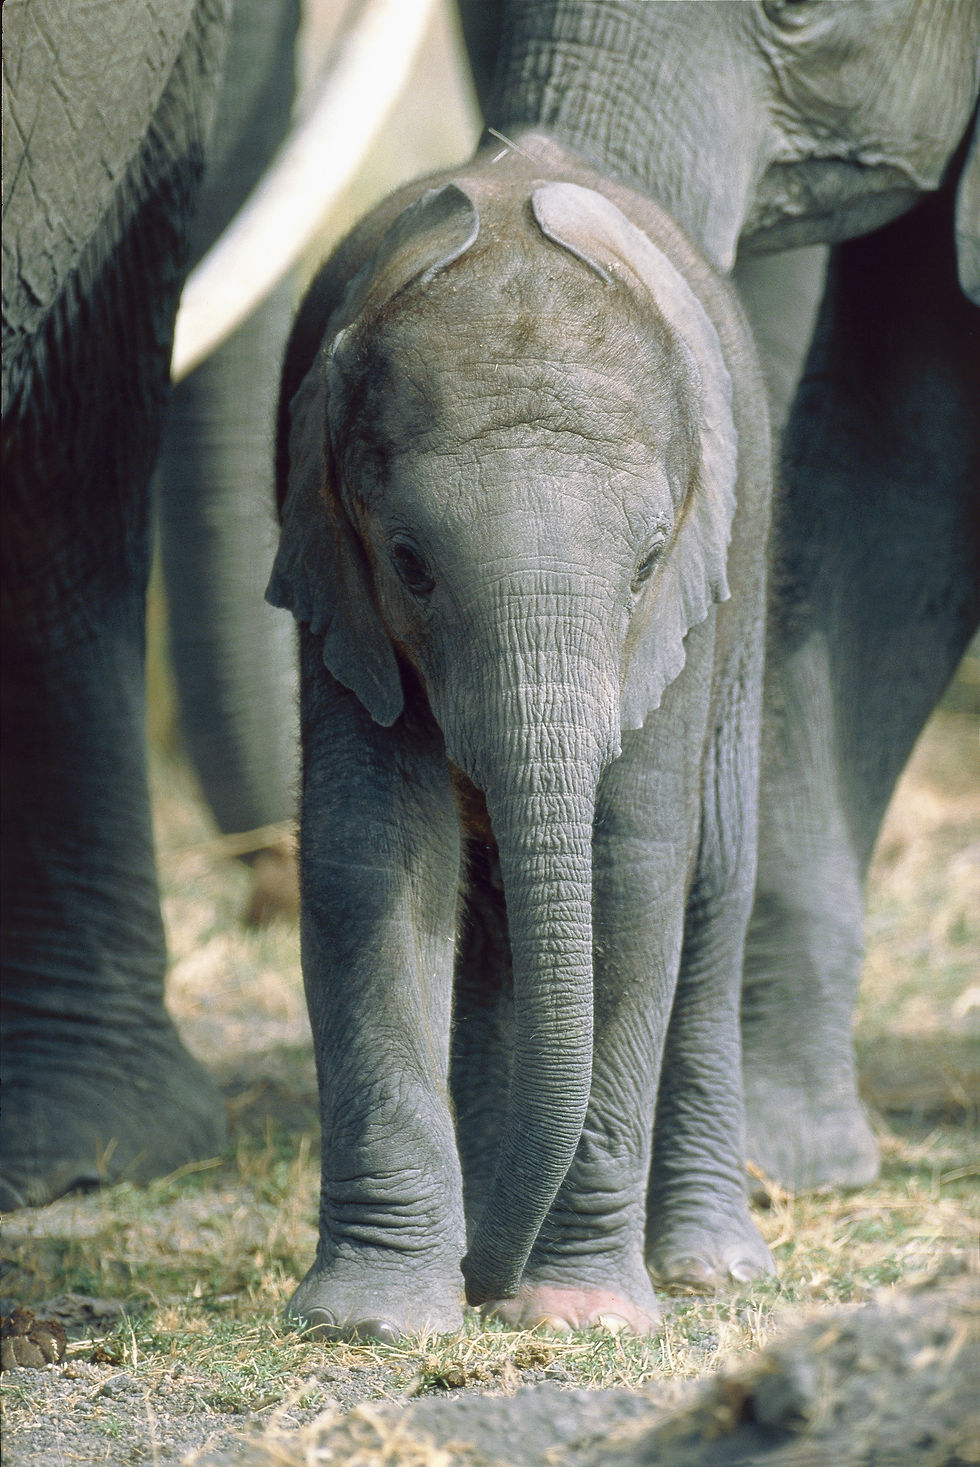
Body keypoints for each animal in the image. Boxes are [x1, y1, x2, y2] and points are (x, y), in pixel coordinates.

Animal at [269, 146, 776, 1338]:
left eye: (645, 564)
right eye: (409, 563)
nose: (481, 1281)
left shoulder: (683, 608)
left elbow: (632, 869)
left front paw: (576, 1315)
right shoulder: (329, 566)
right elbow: (371, 856)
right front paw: (374, 1321)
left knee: (712, 883)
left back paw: (710, 1269)